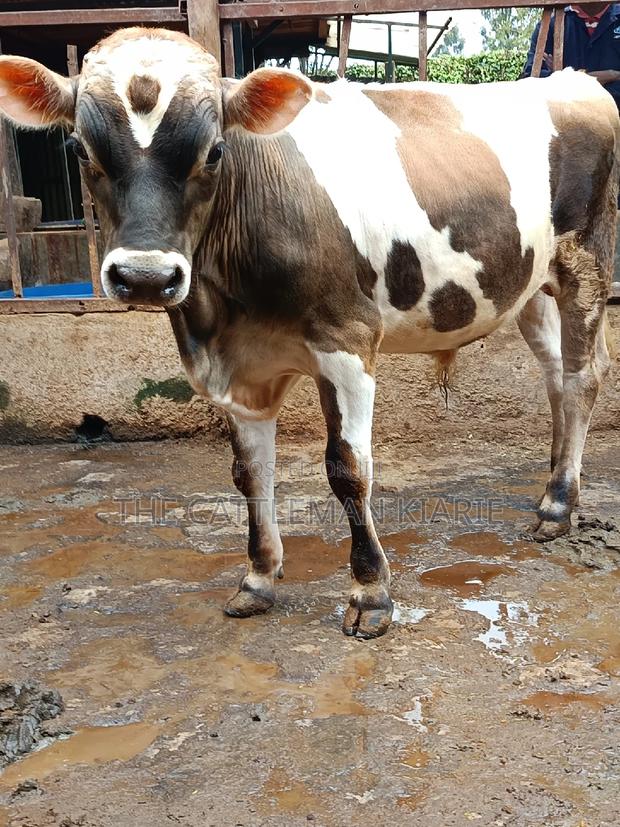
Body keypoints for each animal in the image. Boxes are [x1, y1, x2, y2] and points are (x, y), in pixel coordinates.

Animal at [0, 27, 616, 638]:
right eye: (80, 149)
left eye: (215, 151)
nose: (146, 276)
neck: (225, 314)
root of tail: (574, 82)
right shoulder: (237, 371)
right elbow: (250, 473)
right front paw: (258, 578)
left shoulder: (348, 342)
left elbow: (348, 469)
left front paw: (371, 593)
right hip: (529, 289)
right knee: (556, 378)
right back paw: (553, 489)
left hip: (585, 262)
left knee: (583, 378)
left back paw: (560, 506)